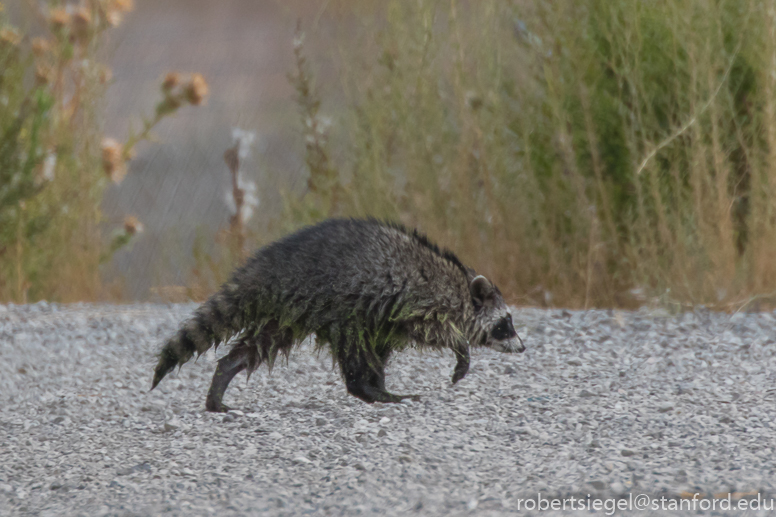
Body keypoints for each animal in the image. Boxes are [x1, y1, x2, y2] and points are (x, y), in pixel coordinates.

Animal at [150, 218, 528, 412]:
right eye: (506, 324)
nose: (523, 347)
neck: (460, 286)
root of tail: (271, 264)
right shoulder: (417, 303)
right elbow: (435, 330)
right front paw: (461, 349)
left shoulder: (387, 321)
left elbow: (383, 348)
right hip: (335, 302)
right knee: (353, 348)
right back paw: (370, 390)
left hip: (291, 313)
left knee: (258, 346)